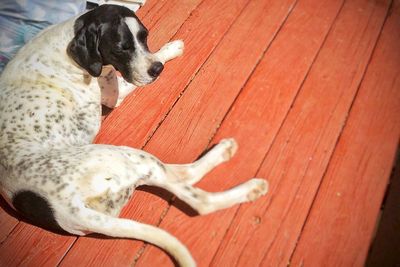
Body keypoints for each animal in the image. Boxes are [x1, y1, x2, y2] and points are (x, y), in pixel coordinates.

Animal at [0, 3, 268, 266]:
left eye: (145, 37)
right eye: (121, 48)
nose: (157, 71)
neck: (71, 36)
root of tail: (67, 209)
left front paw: (167, 50)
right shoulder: (114, 93)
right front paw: (166, 53)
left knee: (177, 175)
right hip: (127, 157)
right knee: (197, 196)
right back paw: (248, 184)